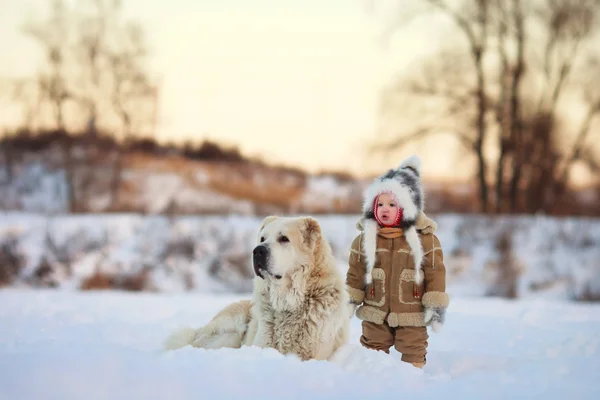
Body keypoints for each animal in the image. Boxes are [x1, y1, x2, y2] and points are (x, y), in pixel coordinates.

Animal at [164, 217, 352, 360]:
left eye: (284, 238)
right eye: (262, 239)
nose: (257, 251)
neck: (287, 304)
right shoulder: (262, 344)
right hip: (230, 329)